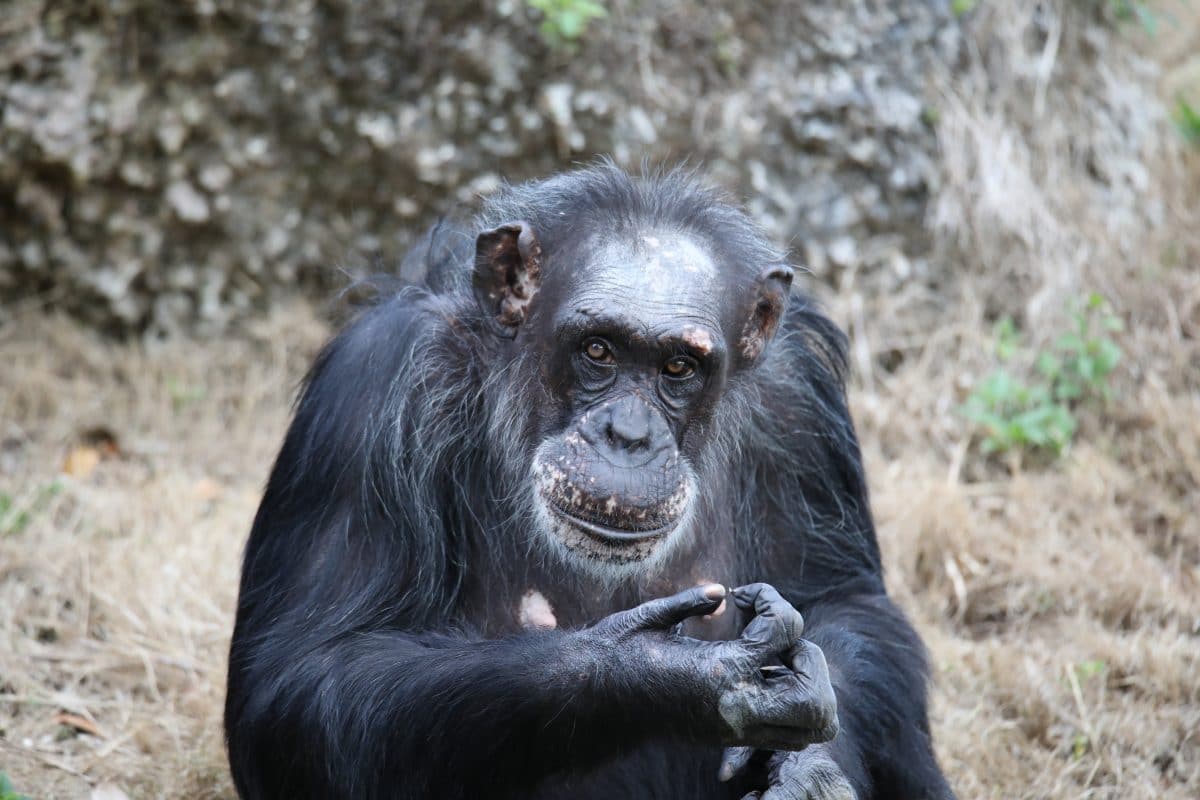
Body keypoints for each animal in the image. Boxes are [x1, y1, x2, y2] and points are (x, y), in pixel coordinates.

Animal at [225, 164, 955, 800]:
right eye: (597, 350)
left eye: (678, 367)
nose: (628, 434)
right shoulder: (375, 388)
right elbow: (308, 676)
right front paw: (662, 674)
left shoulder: (800, 397)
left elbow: (845, 602)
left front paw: (805, 770)